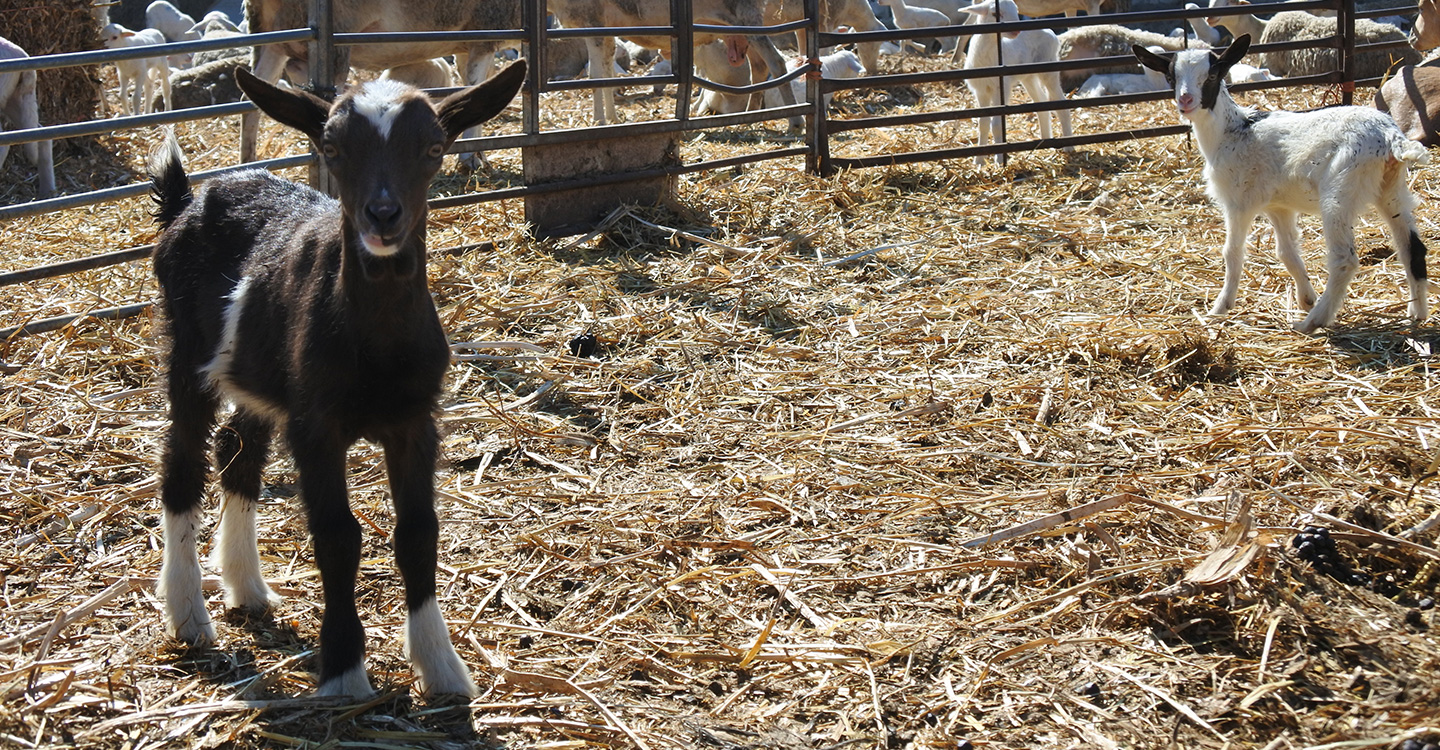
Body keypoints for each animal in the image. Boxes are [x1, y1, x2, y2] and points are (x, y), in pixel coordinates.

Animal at [149, 56, 529, 696]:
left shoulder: (415, 421)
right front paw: (346, 671)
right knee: (183, 462)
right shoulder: (317, 425)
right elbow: (337, 534)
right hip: (189, 353)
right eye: (330, 146)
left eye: (434, 147)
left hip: (262, 374)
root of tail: (187, 202)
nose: (383, 215)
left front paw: (441, 666)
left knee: (237, 451)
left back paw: (246, 587)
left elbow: (418, 532)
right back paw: (188, 613)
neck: (376, 343)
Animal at [961, 0, 1065, 164]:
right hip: (1028, 77)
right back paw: (1045, 140)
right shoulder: (981, 90)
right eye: (995, 14)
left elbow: (997, 125)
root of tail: (1050, 31)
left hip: (1049, 67)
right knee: (1042, 102)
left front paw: (999, 160)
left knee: (1062, 105)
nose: (1016, 31)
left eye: (1016, 10)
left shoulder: (1000, 87)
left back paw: (1069, 147)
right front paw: (979, 161)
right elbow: (983, 124)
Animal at [1134, 37, 1428, 331]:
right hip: (1391, 188)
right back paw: (1417, 312)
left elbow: (1232, 253)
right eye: (1171, 76)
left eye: (1213, 75)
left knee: (1344, 259)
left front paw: (1219, 309)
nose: (1185, 100)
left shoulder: (1239, 202)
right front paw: (1306, 298)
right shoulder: (1279, 207)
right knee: (1412, 247)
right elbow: (1287, 252)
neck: (1233, 132)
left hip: (1340, 190)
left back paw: (1313, 321)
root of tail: (1391, 138)